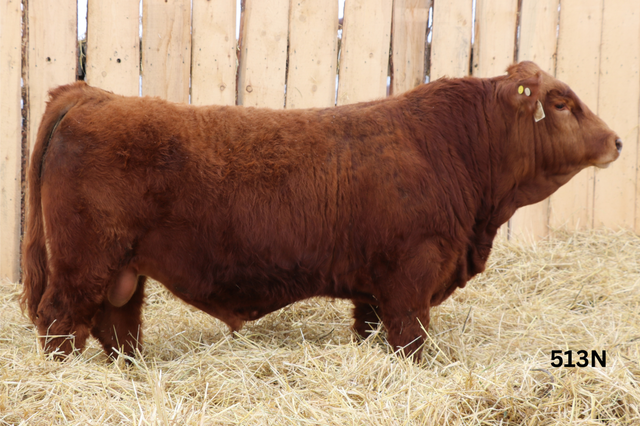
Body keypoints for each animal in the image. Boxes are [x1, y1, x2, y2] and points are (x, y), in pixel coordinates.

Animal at [21, 61, 621, 361]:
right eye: (562, 102)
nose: (616, 140)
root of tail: (92, 95)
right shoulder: (412, 278)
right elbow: (413, 341)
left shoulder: (375, 292)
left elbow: (374, 331)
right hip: (83, 262)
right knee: (60, 321)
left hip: (122, 270)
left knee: (117, 324)